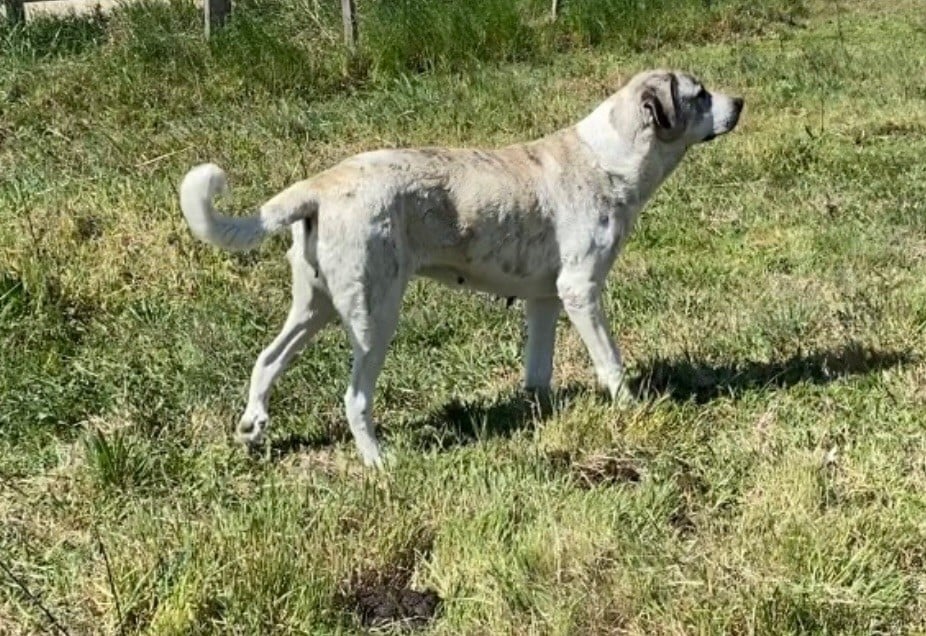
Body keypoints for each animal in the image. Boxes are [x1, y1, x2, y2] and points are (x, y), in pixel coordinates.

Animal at [181, 71, 748, 468]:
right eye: (699, 94)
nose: (741, 102)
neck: (608, 159)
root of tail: (321, 183)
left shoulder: (545, 300)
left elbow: (537, 373)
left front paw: (540, 417)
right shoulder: (581, 291)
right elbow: (611, 363)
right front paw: (632, 410)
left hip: (314, 307)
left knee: (267, 359)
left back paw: (254, 426)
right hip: (373, 317)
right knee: (354, 398)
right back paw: (377, 461)